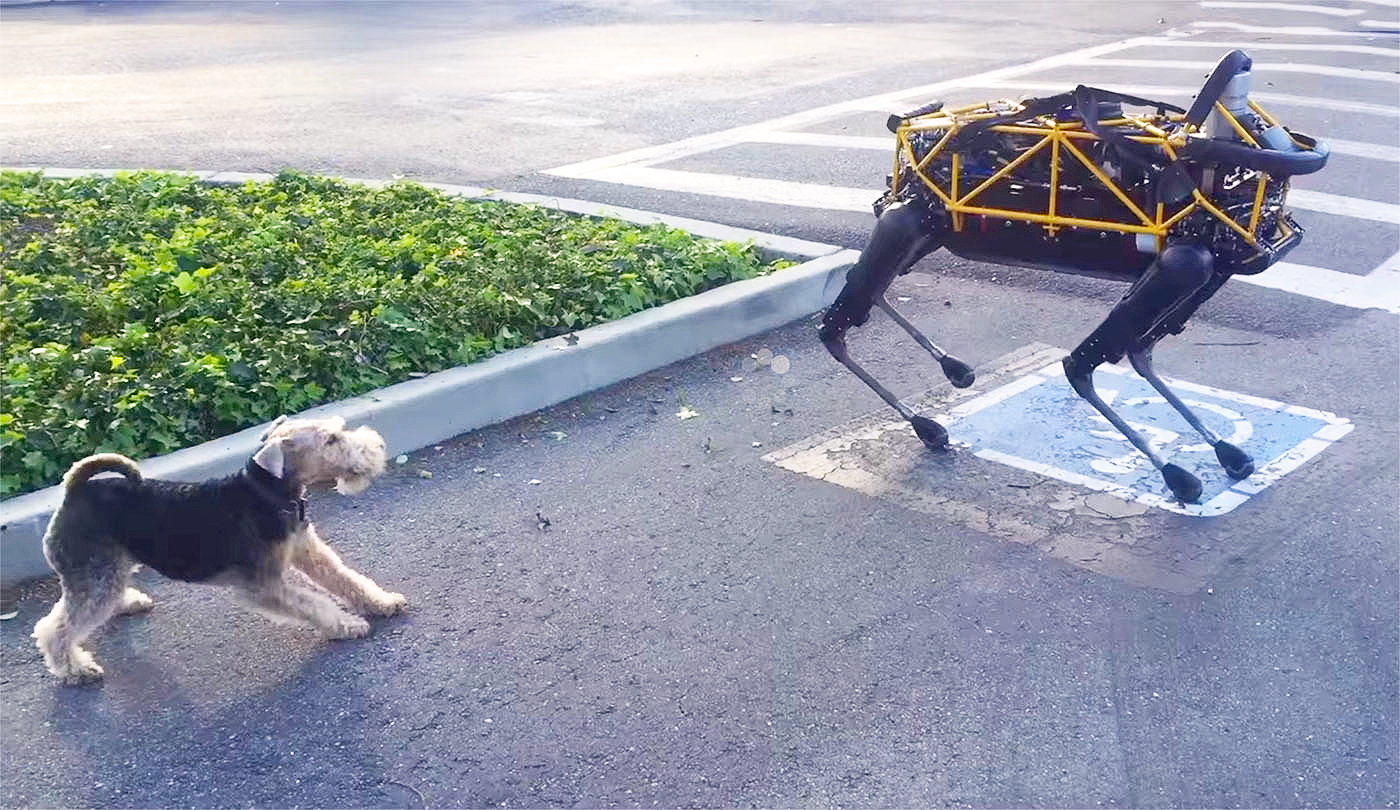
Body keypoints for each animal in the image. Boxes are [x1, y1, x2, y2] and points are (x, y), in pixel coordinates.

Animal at [32, 414, 406, 688]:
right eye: (330, 440)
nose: (378, 445)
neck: (266, 493)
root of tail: (74, 490)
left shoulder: (307, 551)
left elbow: (347, 579)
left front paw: (383, 603)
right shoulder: (263, 586)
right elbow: (315, 603)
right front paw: (350, 625)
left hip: (111, 566)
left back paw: (129, 603)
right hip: (94, 575)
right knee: (55, 628)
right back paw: (76, 670)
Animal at [817, 48, 1332, 500]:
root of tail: (910, 137)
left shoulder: (1202, 269)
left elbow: (1137, 353)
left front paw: (1223, 451)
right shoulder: (1183, 263)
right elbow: (1080, 365)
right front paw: (1173, 472)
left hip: (928, 230)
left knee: (866, 294)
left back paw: (952, 370)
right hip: (910, 219)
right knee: (837, 324)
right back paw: (924, 422)